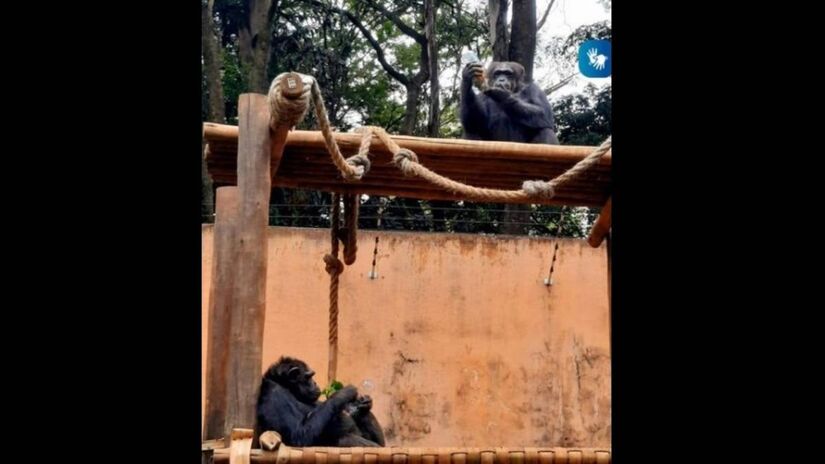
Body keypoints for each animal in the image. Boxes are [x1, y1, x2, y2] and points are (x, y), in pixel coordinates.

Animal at [254, 358, 386, 448]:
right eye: (308, 377)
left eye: (312, 376)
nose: (315, 383)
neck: (289, 389)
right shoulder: (273, 394)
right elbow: (298, 435)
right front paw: (343, 394)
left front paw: (362, 404)